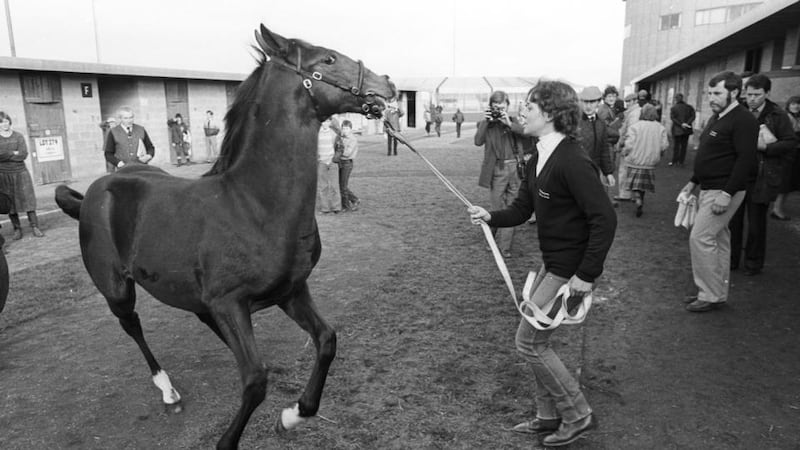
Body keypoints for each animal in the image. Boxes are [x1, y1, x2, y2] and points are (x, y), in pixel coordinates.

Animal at [55, 24, 396, 450]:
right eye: (328, 59)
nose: (388, 85)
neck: (253, 205)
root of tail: (92, 193)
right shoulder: (230, 303)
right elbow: (254, 382)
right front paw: (234, 437)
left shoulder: (291, 291)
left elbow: (327, 340)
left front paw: (294, 414)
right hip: (117, 290)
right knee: (132, 326)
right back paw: (167, 390)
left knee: (205, 321)